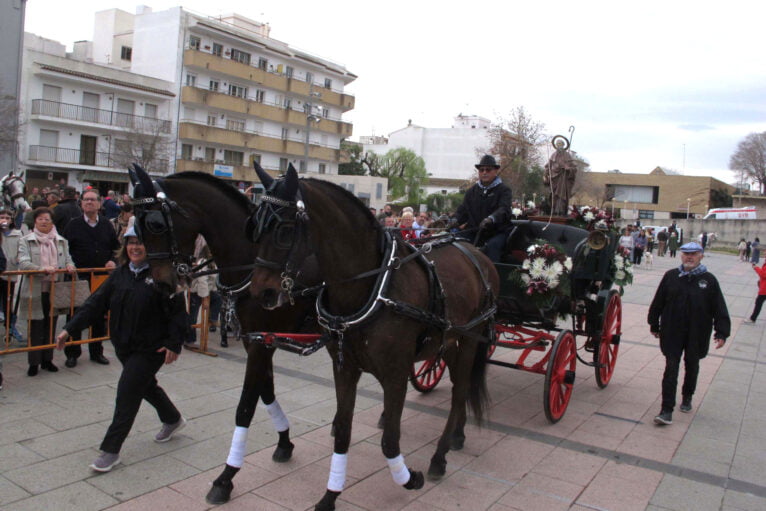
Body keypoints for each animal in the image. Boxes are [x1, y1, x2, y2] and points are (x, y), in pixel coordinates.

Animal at [127, 167, 320, 504]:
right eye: (136, 224)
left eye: (155, 223)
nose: (162, 284)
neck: (253, 262)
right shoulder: (258, 341)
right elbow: (265, 393)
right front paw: (284, 441)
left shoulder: (260, 344)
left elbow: (245, 407)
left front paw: (226, 477)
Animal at [248, 165, 498, 511]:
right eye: (255, 226)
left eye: (285, 228)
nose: (262, 293)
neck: (372, 285)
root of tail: (476, 252)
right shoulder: (345, 368)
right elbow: (343, 429)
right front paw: (330, 496)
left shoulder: (395, 374)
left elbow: (390, 440)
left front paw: (409, 478)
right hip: (449, 342)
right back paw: (458, 435)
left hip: (472, 339)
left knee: (460, 392)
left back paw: (439, 456)